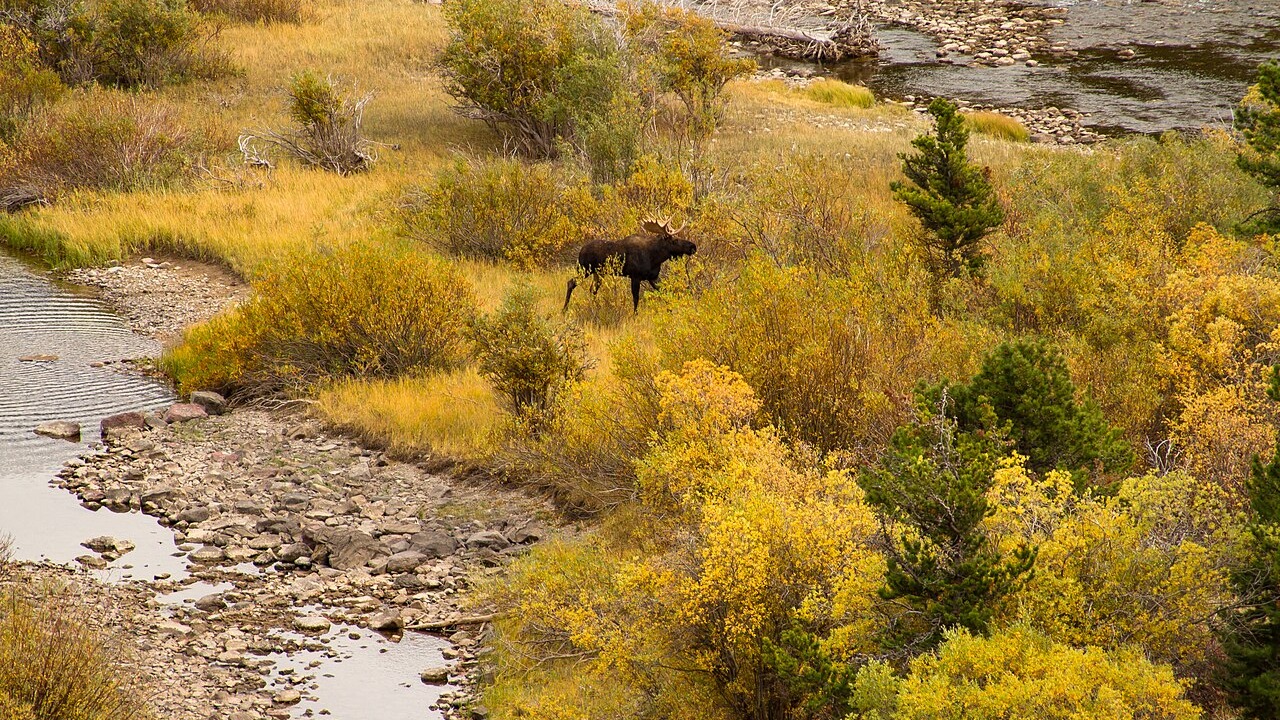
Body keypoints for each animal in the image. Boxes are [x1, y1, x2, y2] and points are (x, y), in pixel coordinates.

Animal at [563, 217, 697, 313]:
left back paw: (594, 307)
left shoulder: (653, 277)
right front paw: (635, 315)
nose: (693, 246)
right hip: (584, 269)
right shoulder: (635, 277)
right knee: (571, 282)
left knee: (593, 289)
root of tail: (581, 250)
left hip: (598, 273)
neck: (655, 257)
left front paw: (670, 310)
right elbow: (636, 298)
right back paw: (564, 309)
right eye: (674, 240)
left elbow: (665, 291)